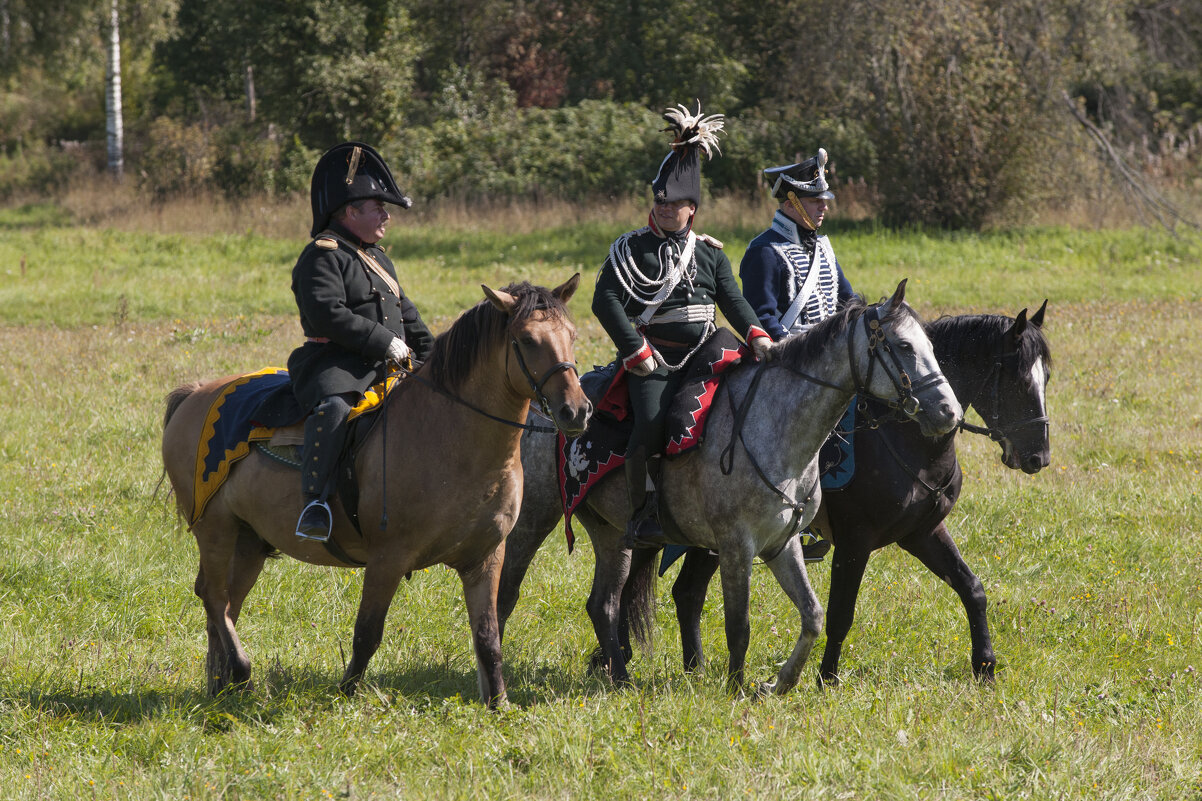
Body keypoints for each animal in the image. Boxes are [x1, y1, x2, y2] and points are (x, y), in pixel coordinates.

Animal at [159, 276, 591, 707]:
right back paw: (242, 671)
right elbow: (367, 632)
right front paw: (346, 694)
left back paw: (223, 685)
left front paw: (498, 702)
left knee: (227, 603)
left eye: (572, 336)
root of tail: (196, 394)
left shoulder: (485, 558)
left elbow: (488, 636)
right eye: (528, 339)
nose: (576, 411)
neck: (452, 437)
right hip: (215, 528)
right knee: (214, 596)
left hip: (248, 540)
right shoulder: (388, 559)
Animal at [497, 280, 956, 692]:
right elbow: (740, 624)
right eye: (904, 346)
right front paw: (736, 688)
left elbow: (812, 615)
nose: (947, 412)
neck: (777, 427)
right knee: (506, 592)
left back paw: (622, 680)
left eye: (933, 348)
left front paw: (780, 682)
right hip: (534, 519)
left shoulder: (782, 543)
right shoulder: (737, 546)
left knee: (603, 605)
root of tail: (544, 406)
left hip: (612, 534)